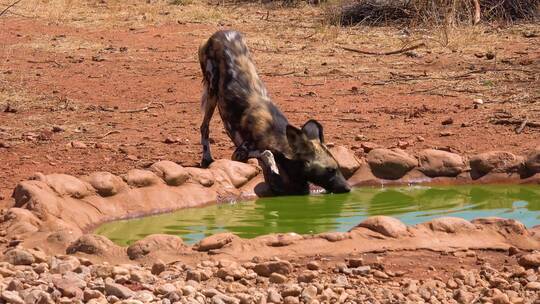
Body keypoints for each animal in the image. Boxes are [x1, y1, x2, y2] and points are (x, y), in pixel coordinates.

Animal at [198, 30, 350, 195]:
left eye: (338, 168)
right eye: (330, 170)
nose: (348, 187)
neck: (275, 134)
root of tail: (220, 32)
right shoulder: (239, 154)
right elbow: (267, 153)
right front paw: (273, 168)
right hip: (212, 91)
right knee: (204, 127)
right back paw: (206, 159)